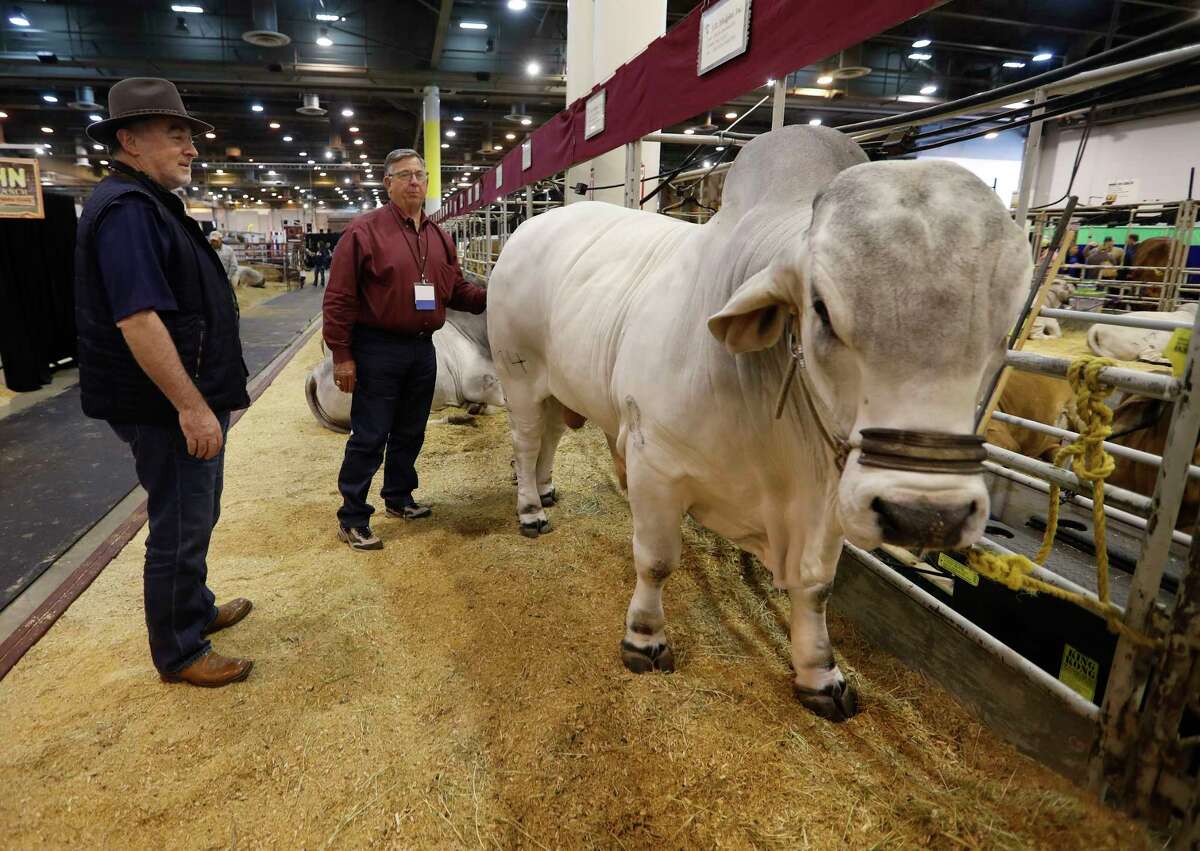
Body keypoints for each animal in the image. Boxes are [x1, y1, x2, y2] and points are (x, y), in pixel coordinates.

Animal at [487, 126, 1032, 720]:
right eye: (821, 310)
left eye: (1005, 326)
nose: (926, 516)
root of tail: (529, 228)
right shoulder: (656, 466)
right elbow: (656, 560)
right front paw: (644, 639)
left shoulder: (829, 496)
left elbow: (816, 586)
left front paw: (821, 674)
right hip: (519, 375)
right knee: (525, 442)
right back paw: (530, 509)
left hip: (557, 386)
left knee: (548, 439)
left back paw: (545, 487)